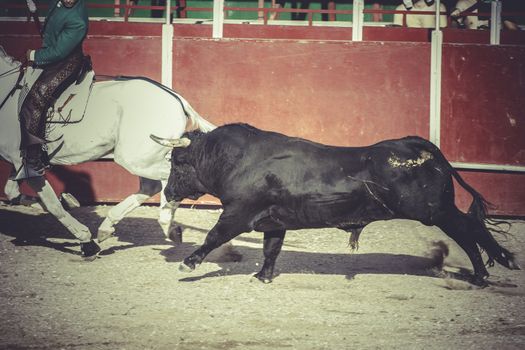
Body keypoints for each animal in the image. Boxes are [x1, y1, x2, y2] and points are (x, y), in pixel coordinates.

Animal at [0, 46, 215, 258]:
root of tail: (177, 99)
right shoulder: (19, 165)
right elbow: (13, 193)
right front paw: (69, 202)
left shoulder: (28, 165)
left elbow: (53, 206)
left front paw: (86, 242)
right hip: (143, 158)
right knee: (151, 186)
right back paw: (108, 227)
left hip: (134, 158)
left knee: (168, 179)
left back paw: (166, 224)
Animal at [158, 123, 516, 284]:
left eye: (177, 163)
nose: (168, 193)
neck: (237, 159)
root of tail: (419, 144)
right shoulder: (274, 221)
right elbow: (271, 249)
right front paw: (263, 277)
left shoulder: (238, 213)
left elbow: (214, 236)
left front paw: (188, 263)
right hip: (438, 211)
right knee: (471, 229)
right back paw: (488, 270)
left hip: (436, 211)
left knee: (469, 229)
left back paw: (486, 272)